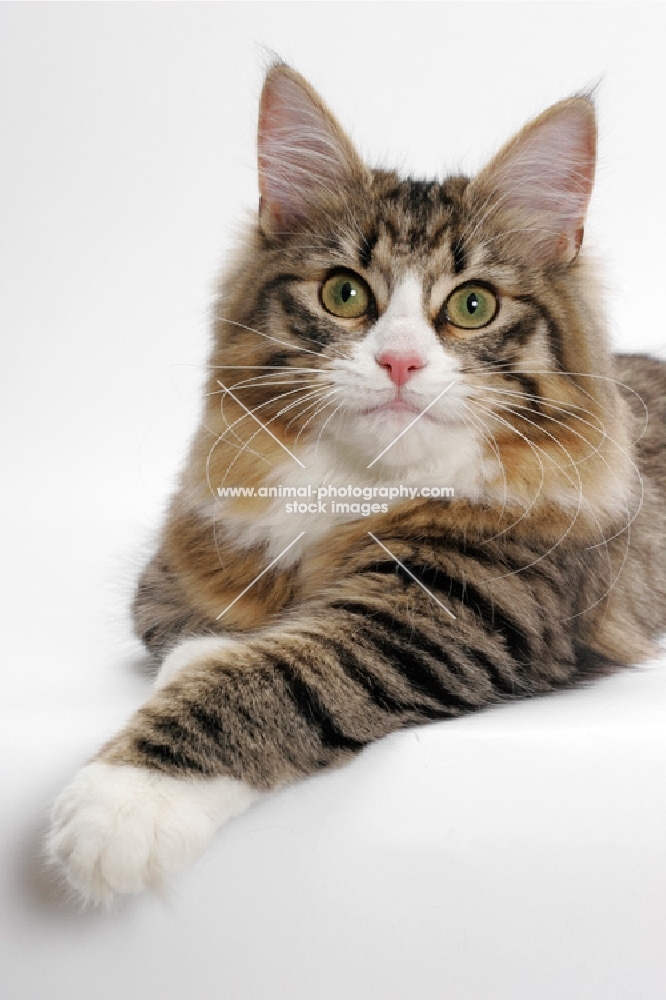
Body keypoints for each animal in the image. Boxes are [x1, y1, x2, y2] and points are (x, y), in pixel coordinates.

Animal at [46, 62, 664, 908]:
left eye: (473, 305)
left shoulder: (456, 606)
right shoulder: (180, 568)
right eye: (344, 293)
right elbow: (190, 632)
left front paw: (126, 804)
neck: (357, 487)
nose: (399, 361)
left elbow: (276, 672)